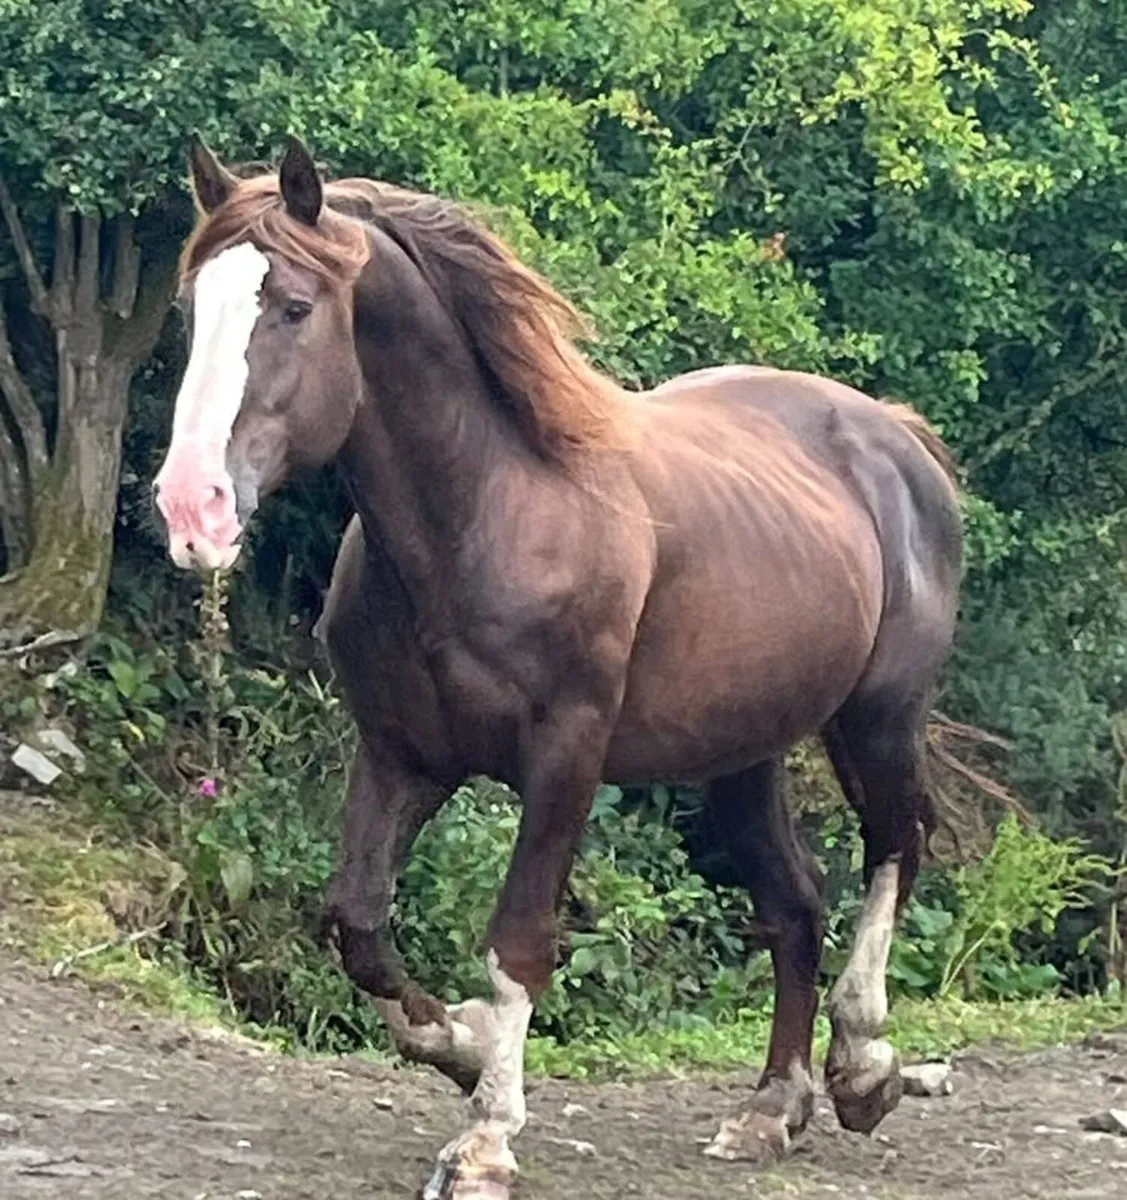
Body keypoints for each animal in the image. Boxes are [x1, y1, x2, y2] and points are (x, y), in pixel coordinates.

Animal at [152, 136, 963, 1200]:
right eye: (190, 307)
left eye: (291, 306)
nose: (191, 507)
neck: (488, 511)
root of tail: (894, 437)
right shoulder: (402, 755)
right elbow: (358, 924)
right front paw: (458, 1045)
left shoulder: (564, 760)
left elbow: (518, 940)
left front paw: (485, 1138)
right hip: (740, 755)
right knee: (793, 902)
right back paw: (769, 1109)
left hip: (877, 717)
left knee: (892, 847)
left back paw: (864, 1068)